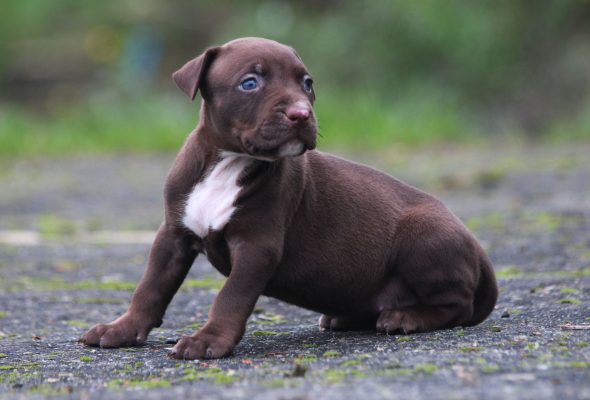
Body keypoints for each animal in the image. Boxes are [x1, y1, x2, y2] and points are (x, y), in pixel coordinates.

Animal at [81, 37, 500, 360]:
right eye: (250, 83)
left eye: (308, 83)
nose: (301, 113)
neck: (229, 162)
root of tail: (479, 250)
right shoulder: (173, 234)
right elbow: (150, 287)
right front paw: (122, 329)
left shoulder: (256, 246)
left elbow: (231, 296)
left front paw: (208, 340)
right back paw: (348, 317)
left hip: (424, 237)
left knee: (459, 304)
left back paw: (407, 317)